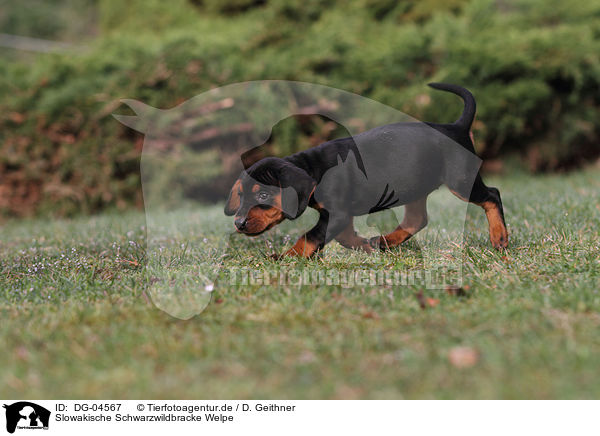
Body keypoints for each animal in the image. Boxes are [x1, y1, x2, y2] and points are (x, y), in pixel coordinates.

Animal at [224, 83, 506, 258]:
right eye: (242, 195)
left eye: (263, 196)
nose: (238, 223)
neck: (314, 169)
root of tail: (456, 127)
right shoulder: (340, 216)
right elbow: (343, 237)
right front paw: (364, 247)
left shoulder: (337, 213)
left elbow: (309, 236)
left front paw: (288, 257)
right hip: (414, 185)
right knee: (417, 220)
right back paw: (383, 241)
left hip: (461, 180)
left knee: (492, 194)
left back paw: (499, 237)